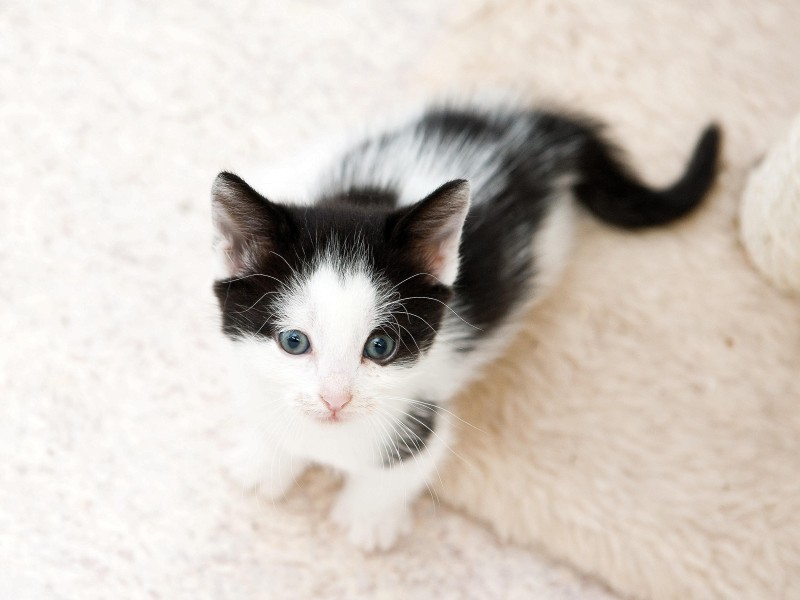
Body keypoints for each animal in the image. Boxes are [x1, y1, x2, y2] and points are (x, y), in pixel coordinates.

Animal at [211, 102, 720, 548]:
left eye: (380, 347)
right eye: (294, 341)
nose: (335, 400)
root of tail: (534, 130)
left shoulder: (423, 412)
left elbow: (405, 468)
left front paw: (368, 520)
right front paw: (265, 463)